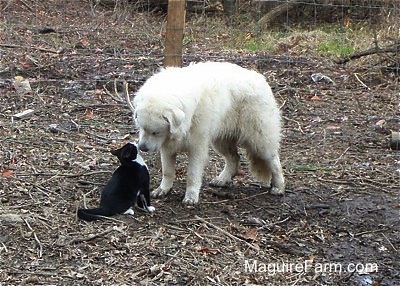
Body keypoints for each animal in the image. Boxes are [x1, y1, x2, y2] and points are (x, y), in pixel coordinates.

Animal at [134, 62, 284, 204]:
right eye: (142, 128)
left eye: (155, 132)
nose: (142, 148)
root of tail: (260, 79)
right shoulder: (167, 147)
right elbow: (167, 171)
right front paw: (163, 189)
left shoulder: (197, 147)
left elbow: (192, 175)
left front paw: (191, 197)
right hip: (221, 141)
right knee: (234, 158)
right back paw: (222, 180)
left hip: (259, 140)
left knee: (274, 161)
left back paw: (279, 187)